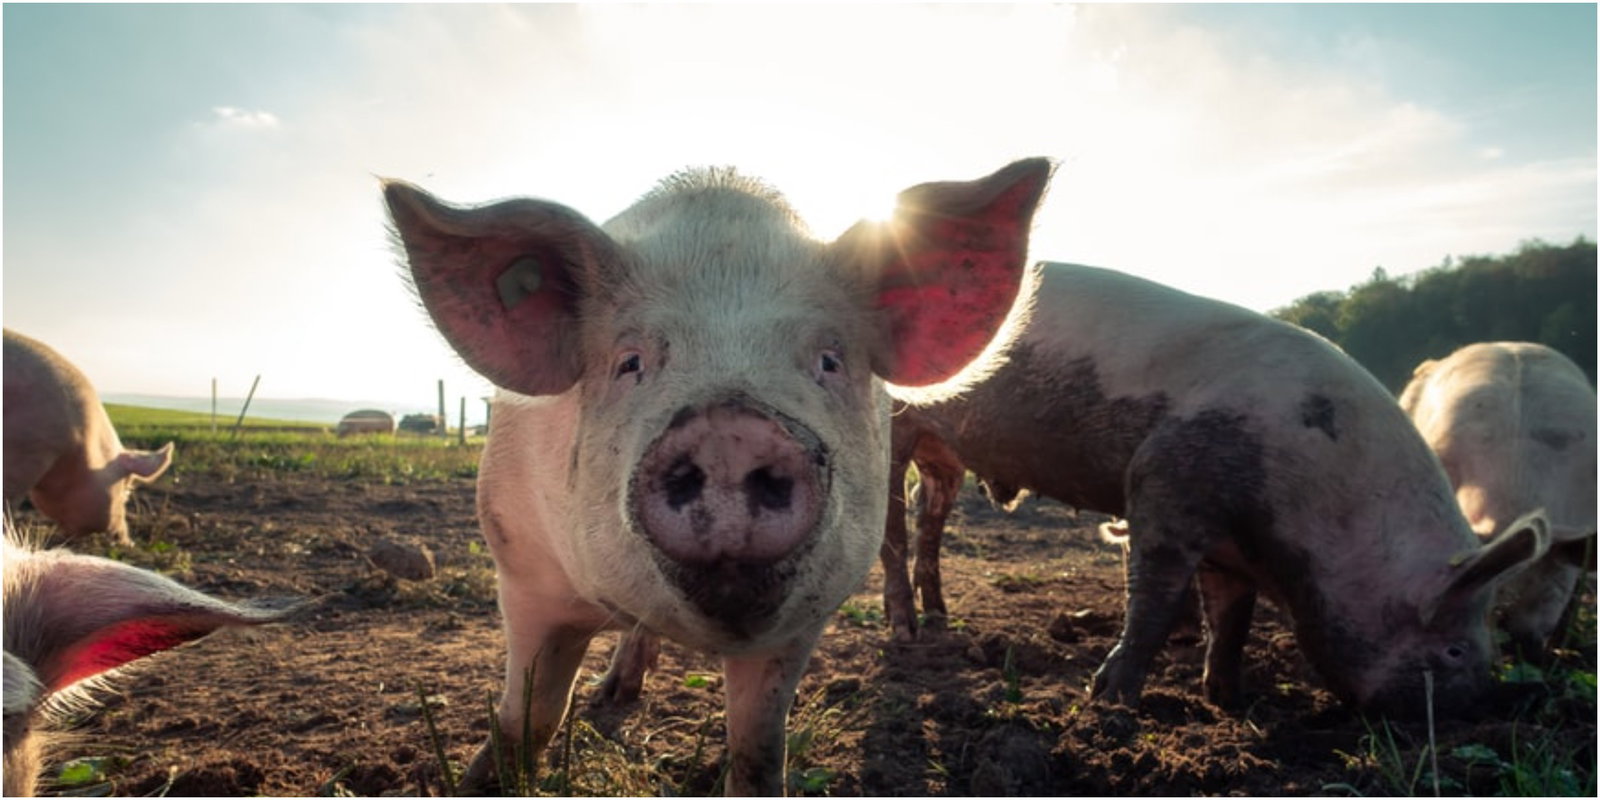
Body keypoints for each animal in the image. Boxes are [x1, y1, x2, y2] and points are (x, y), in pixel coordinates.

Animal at [384, 159, 1052, 794]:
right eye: (630, 362)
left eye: (829, 361)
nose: (730, 430)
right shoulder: (522, 569)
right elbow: (529, 717)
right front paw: (480, 780)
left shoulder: (804, 620)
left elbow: (757, 747)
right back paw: (612, 694)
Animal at [878, 263, 1548, 716]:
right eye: (1455, 650)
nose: (1482, 710)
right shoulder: (1164, 484)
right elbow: (1154, 599)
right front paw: (1109, 702)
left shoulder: (1232, 548)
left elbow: (1232, 617)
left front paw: (1229, 699)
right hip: (894, 425)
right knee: (890, 524)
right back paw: (905, 631)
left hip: (946, 453)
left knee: (928, 514)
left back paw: (940, 619)